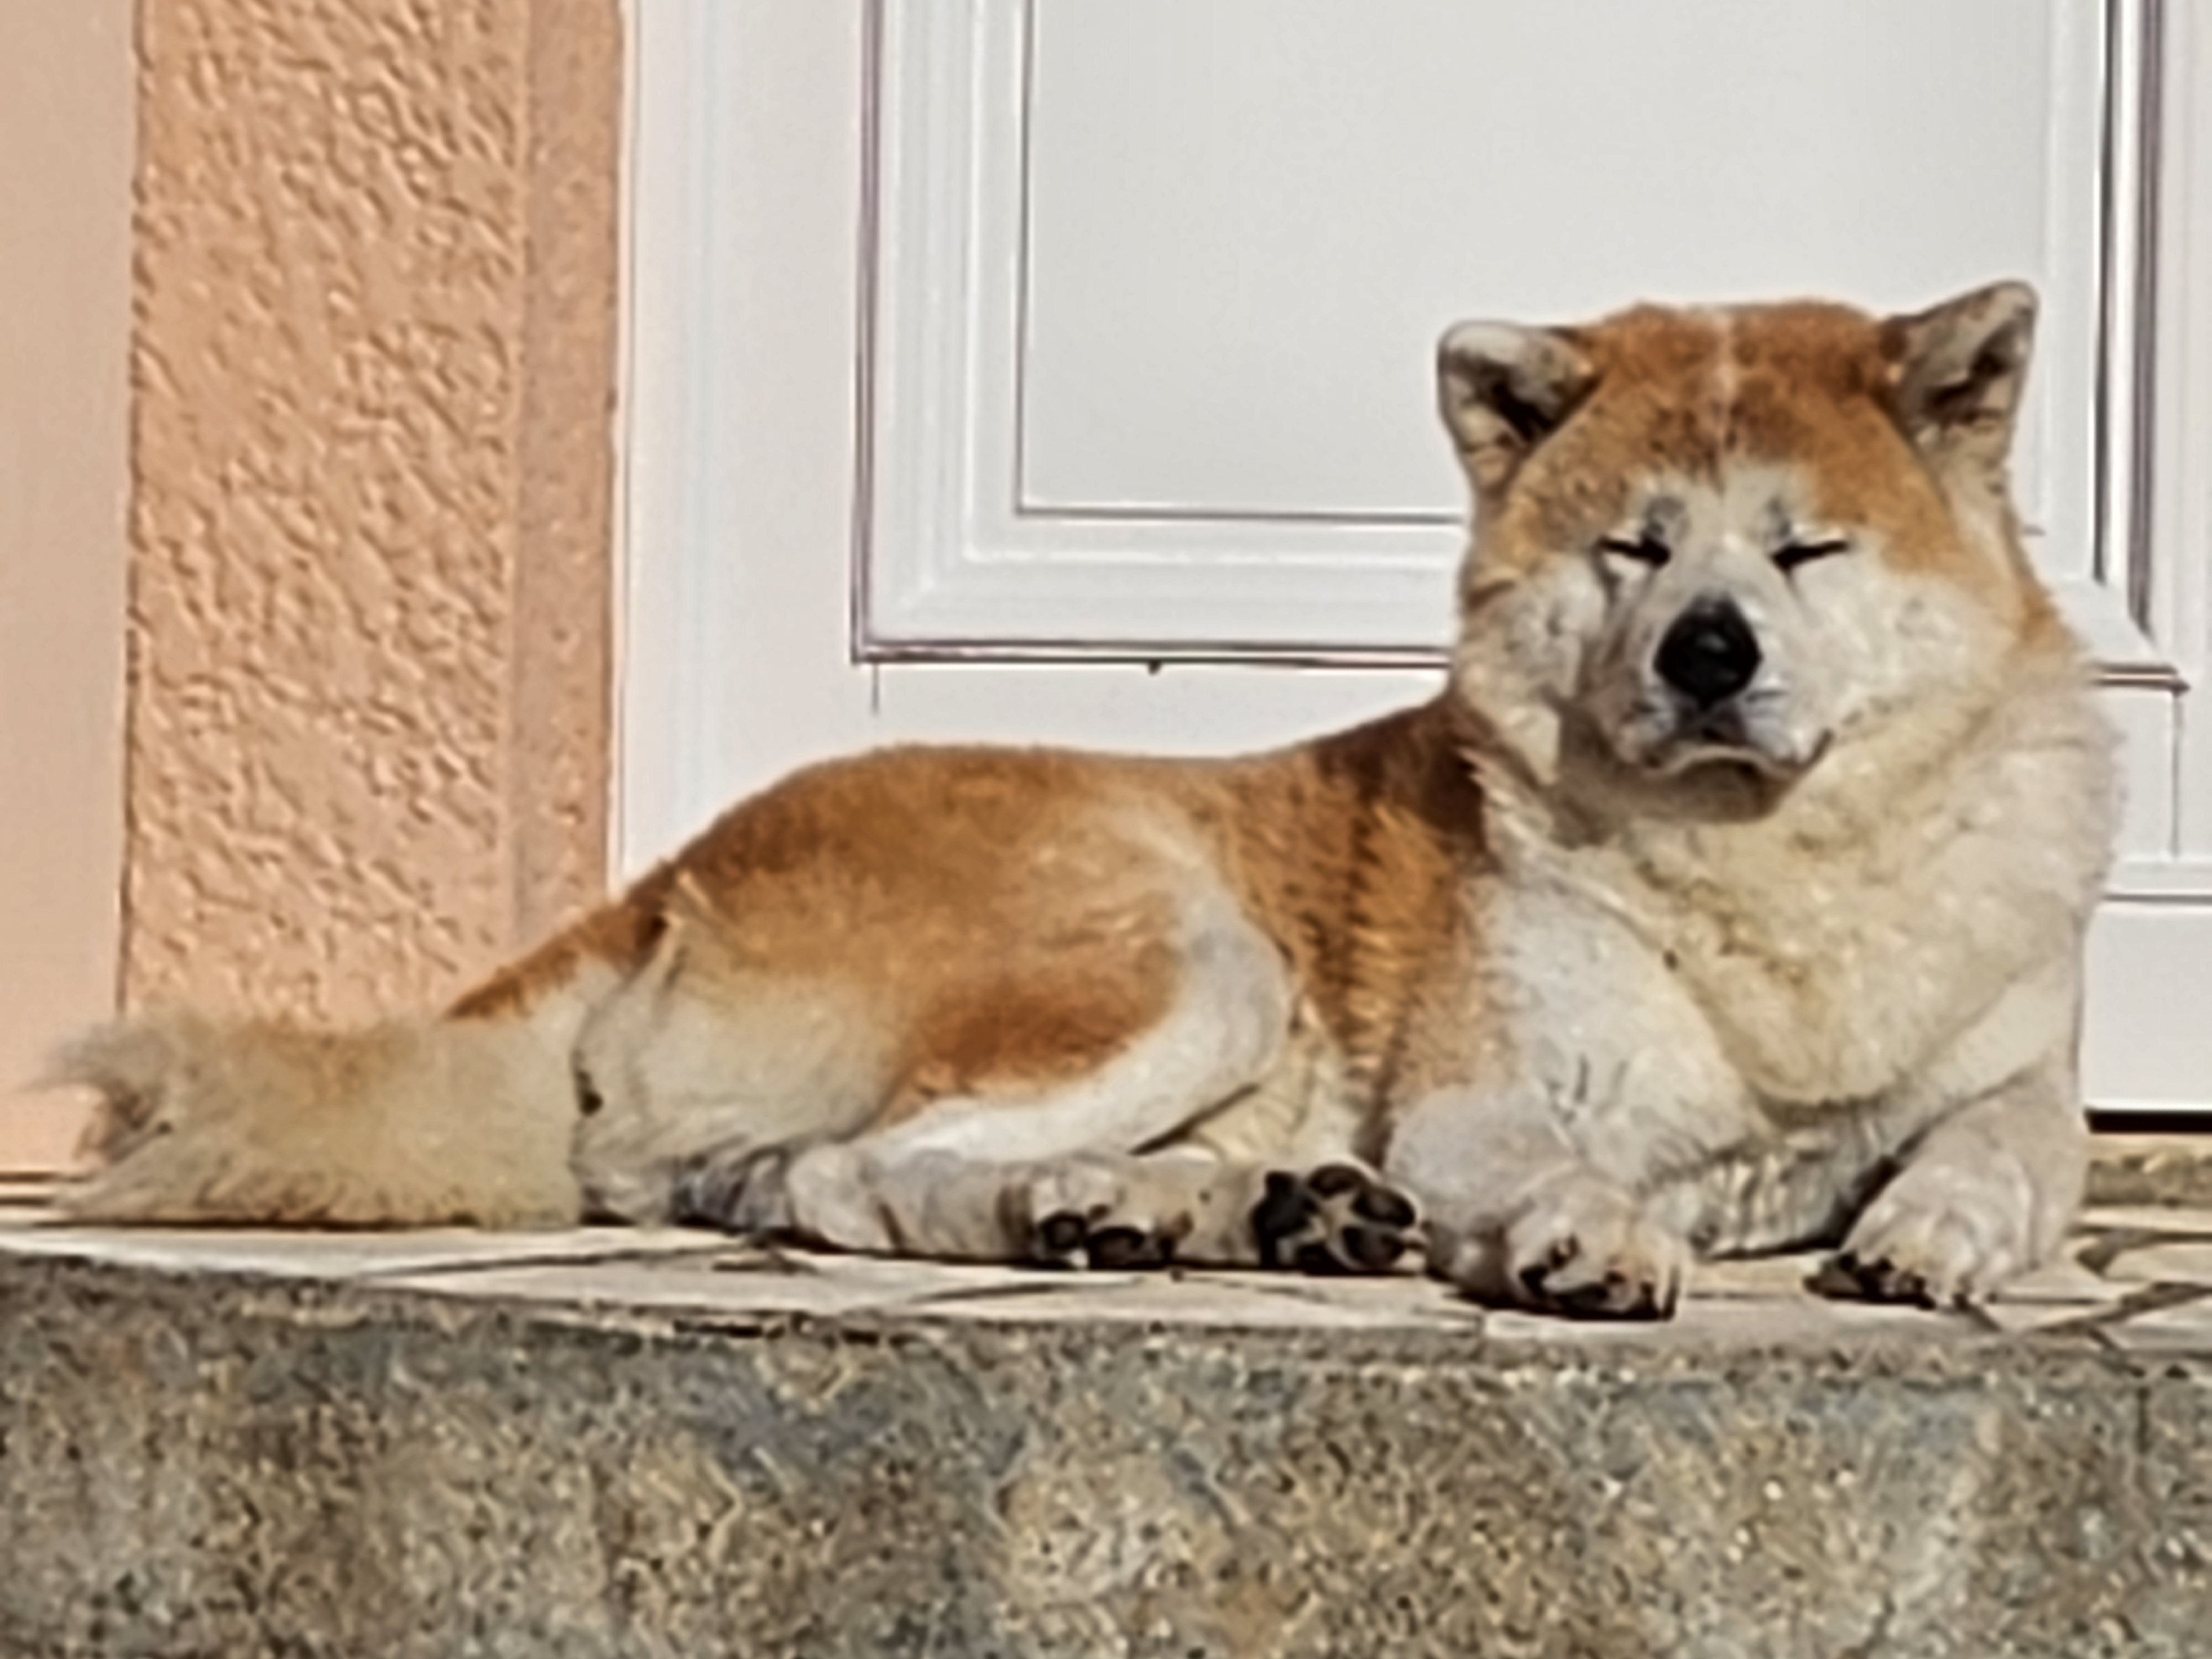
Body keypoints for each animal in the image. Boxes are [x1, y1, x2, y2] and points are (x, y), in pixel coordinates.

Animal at [52, 282, 2117, 1319]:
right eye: (1638, 546)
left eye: (1803, 545)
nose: (1704, 650)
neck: (1773, 898)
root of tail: (674, 870)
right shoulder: (1480, 1096)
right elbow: (1557, 1164)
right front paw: (1587, 1240)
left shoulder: (2012, 1061)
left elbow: (2012, 1145)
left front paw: (1930, 1235)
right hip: (1194, 955)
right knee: (851, 1174)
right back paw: (1100, 1208)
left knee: (765, 1178)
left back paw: (1234, 1215)